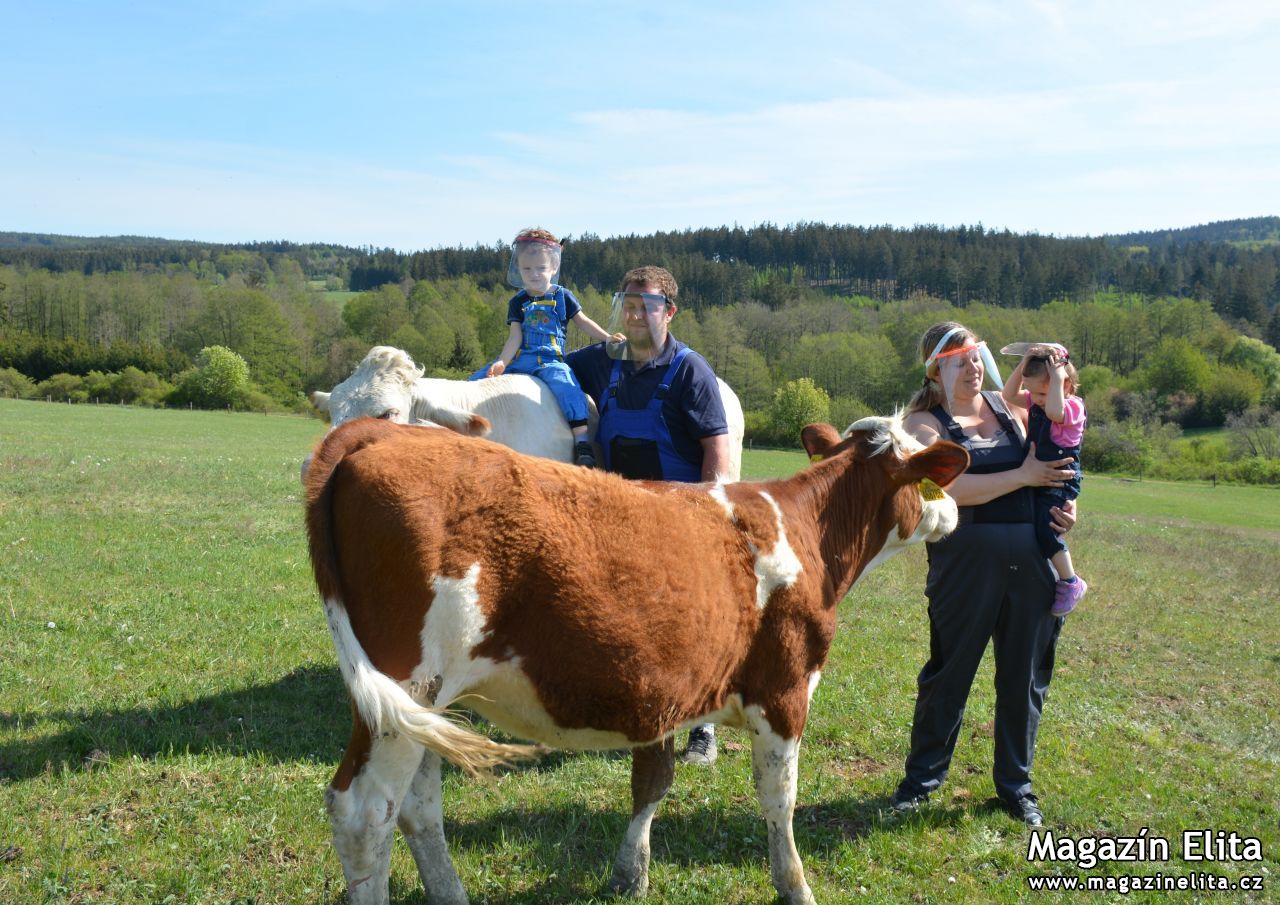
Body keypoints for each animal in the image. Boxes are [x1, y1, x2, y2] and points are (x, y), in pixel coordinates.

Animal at [304, 417, 962, 905]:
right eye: (927, 473)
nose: (954, 512)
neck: (807, 531)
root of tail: (381, 431)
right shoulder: (784, 689)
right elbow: (780, 798)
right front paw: (795, 887)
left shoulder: (667, 689)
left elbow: (651, 782)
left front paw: (630, 873)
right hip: (407, 685)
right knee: (365, 813)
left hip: (420, 705)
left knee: (417, 808)